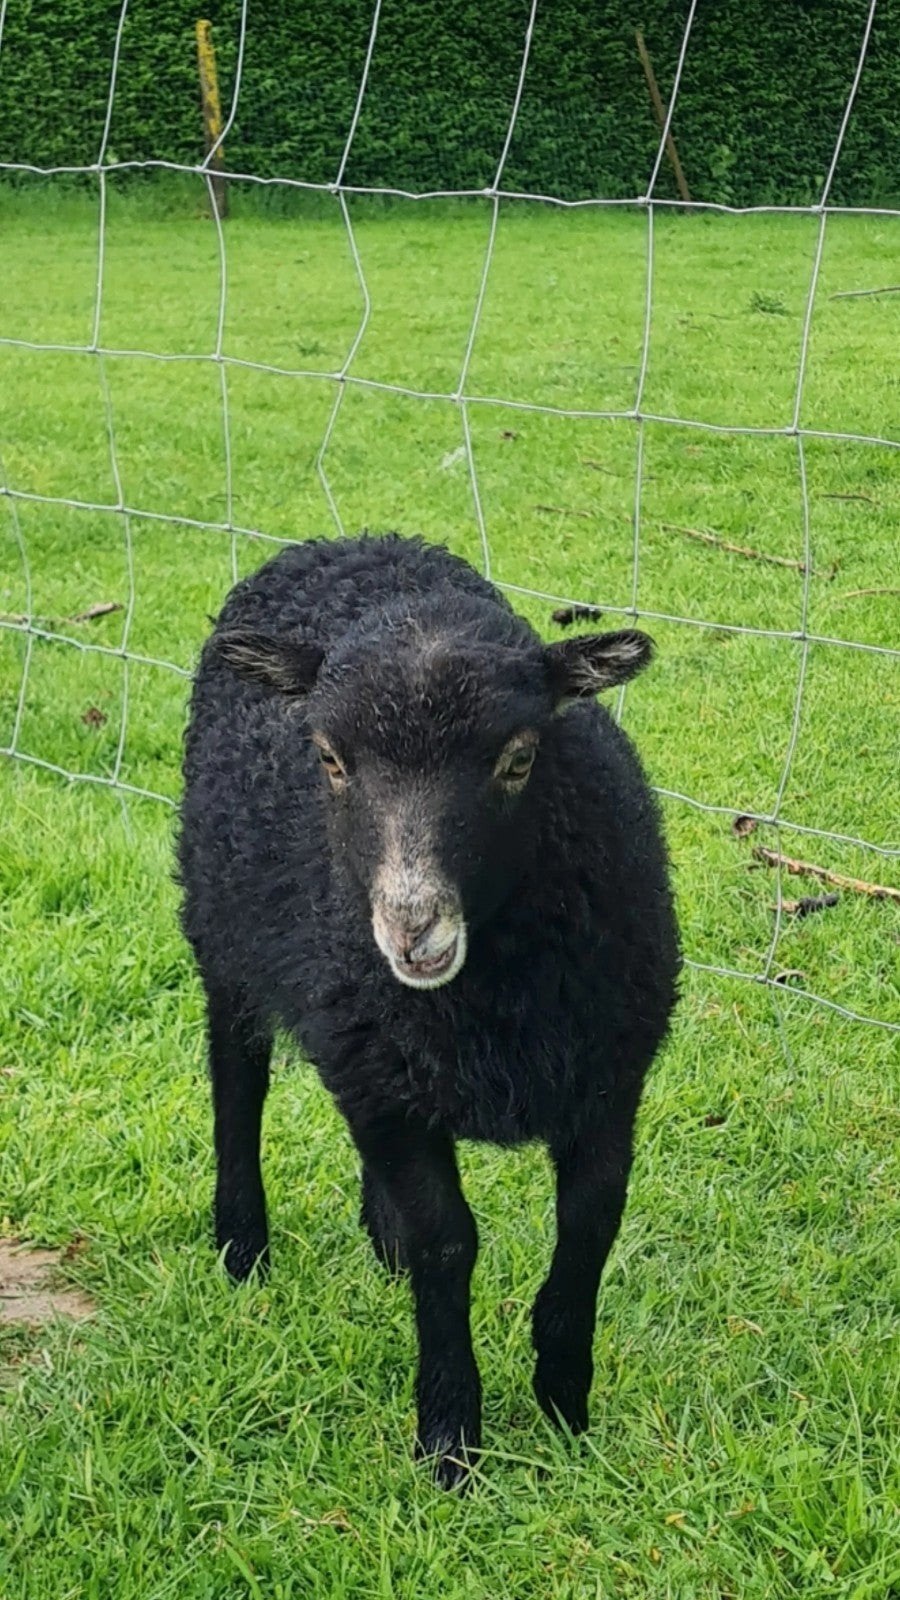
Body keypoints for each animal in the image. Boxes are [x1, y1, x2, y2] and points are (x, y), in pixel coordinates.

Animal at [178, 532, 679, 1488]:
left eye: (519, 758)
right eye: (329, 759)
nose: (411, 928)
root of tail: (352, 543)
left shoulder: (607, 1074)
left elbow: (589, 1226)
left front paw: (566, 1410)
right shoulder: (377, 1074)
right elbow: (448, 1242)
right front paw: (450, 1442)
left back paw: (382, 1244)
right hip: (225, 932)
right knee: (237, 1077)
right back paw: (243, 1247)